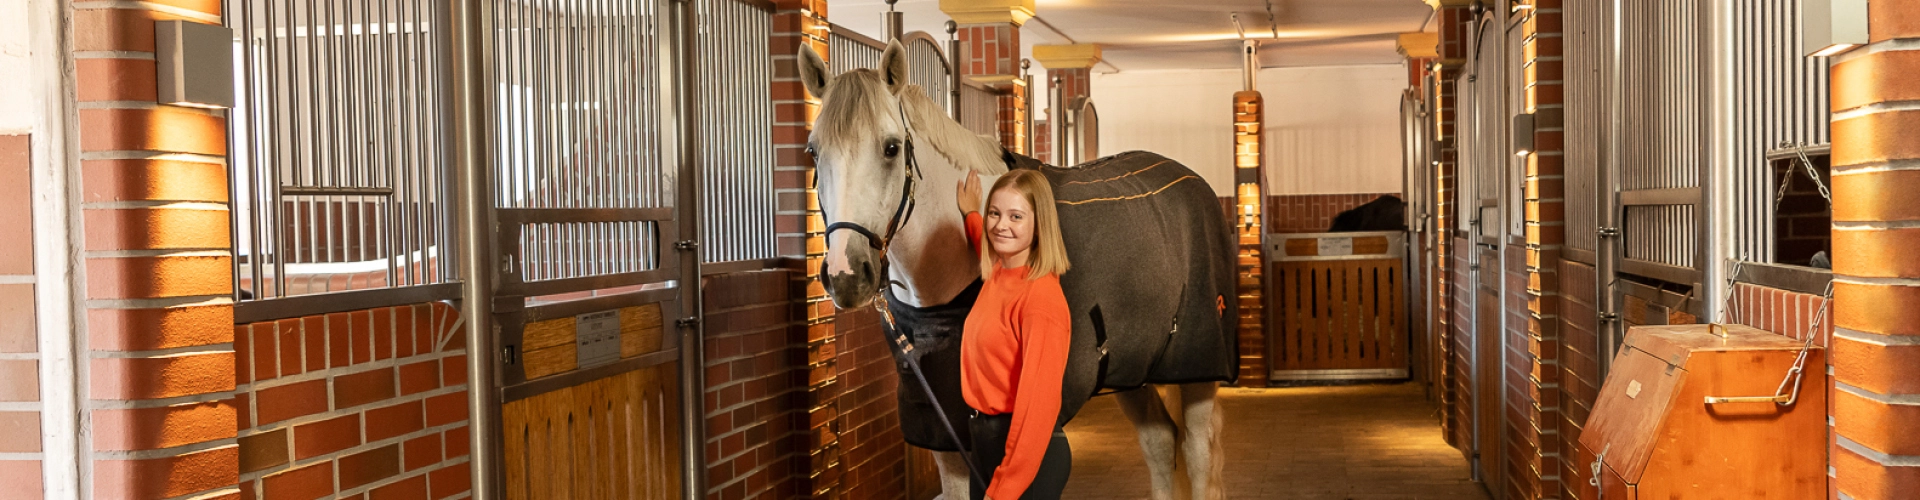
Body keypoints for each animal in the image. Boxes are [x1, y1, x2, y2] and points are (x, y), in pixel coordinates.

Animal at [798, 39, 1239, 500]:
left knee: (1197, 452)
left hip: (1198, 366)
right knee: (1159, 441)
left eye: (891, 148)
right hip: (1132, 367)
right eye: (813, 151)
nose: (847, 274)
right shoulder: (942, 427)